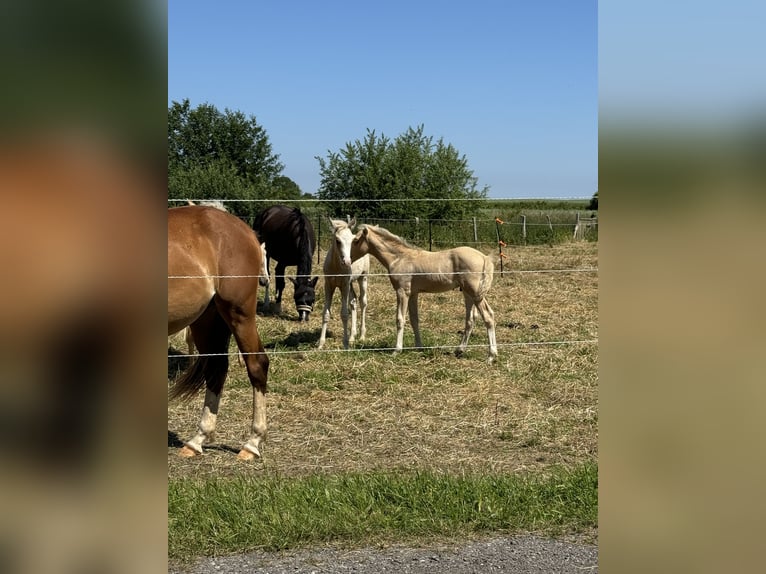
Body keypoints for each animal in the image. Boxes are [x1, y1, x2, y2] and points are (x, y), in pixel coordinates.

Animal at [168, 205, 270, 462]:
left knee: (257, 365)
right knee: (216, 369)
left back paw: (252, 443)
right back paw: (198, 439)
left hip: (239, 313)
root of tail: (246, 231)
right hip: (206, 320)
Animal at [320, 218, 370, 348]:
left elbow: (344, 314)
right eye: (337, 241)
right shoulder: (329, 285)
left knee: (363, 302)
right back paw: (352, 336)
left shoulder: (344, 285)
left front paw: (345, 344)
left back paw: (362, 336)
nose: (347, 262)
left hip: (363, 277)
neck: (336, 267)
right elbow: (326, 314)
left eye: (352, 241)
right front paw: (320, 344)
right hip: (351, 283)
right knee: (353, 301)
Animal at [352, 225, 500, 364]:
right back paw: (459, 350)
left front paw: (396, 350)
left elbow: (400, 319)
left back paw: (491, 356)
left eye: (356, 240)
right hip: (468, 293)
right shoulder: (413, 294)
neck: (399, 258)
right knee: (471, 319)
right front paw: (419, 346)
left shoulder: (402, 291)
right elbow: (414, 319)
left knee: (488, 316)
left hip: (475, 293)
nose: (349, 259)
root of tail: (485, 257)